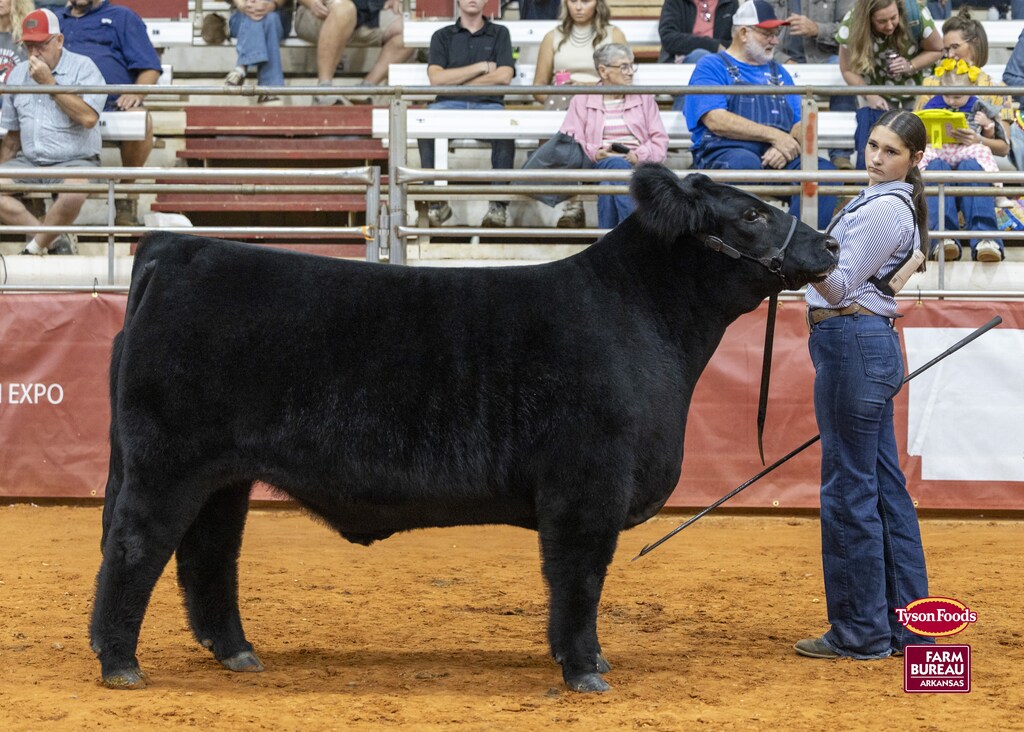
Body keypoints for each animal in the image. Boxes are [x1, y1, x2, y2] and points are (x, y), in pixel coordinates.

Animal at [90, 164, 837, 693]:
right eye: (750, 213)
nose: (830, 242)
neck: (643, 320)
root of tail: (172, 250)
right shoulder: (587, 487)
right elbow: (579, 578)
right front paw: (585, 669)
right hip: (167, 462)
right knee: (135, 547)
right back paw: (120, 662)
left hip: (224, 473)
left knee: (208, 553)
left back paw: (237, 652)